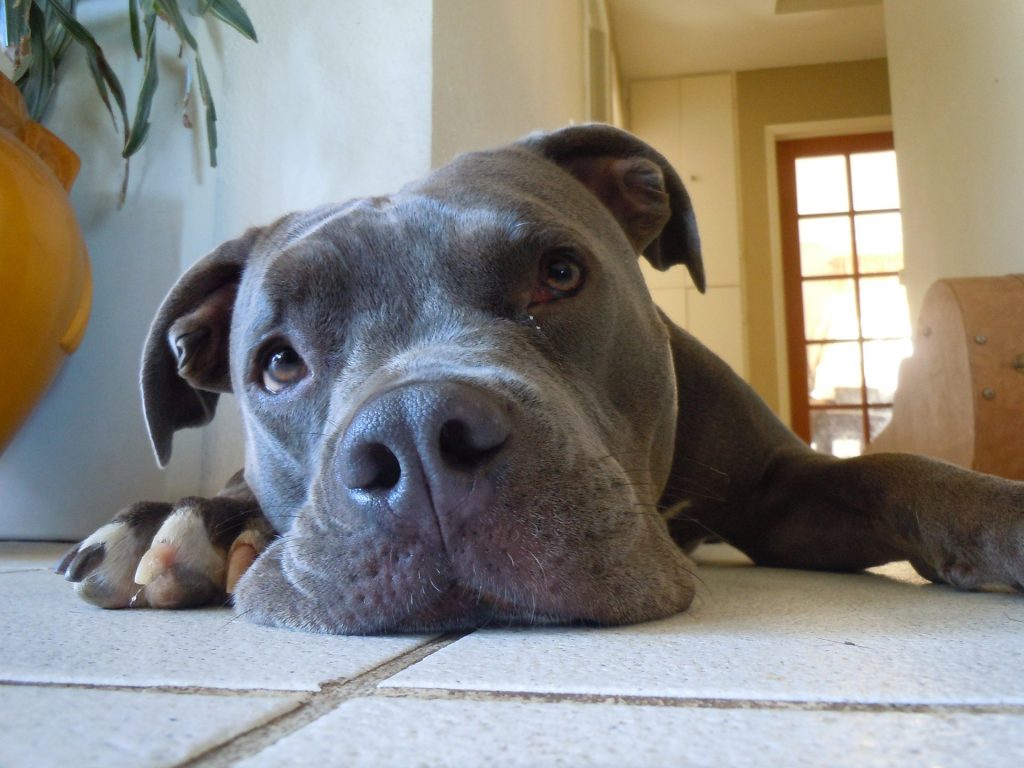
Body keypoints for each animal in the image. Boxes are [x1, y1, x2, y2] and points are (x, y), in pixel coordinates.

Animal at [58, 124, 1024, 630]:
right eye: (279, 361)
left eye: (559, 274)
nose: (417, 434)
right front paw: (199, 521)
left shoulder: (783, 490)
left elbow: (894, 470)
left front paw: (999, 512)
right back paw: (182, 527)